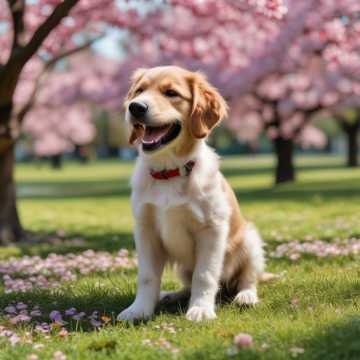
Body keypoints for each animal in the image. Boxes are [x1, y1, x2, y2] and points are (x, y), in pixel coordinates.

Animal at [118, 66, 268, 322]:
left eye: (171, 93)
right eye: (139, 91)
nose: (135, 107)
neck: (169, 171)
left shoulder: (212, 229)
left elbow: (205, 274)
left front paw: (201, 309)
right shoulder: (145, 229)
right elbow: (146, 276)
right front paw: (138, 309)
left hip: (250, 240)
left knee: (247, 278)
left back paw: (245, 296)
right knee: (187, 285)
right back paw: (171, 295)